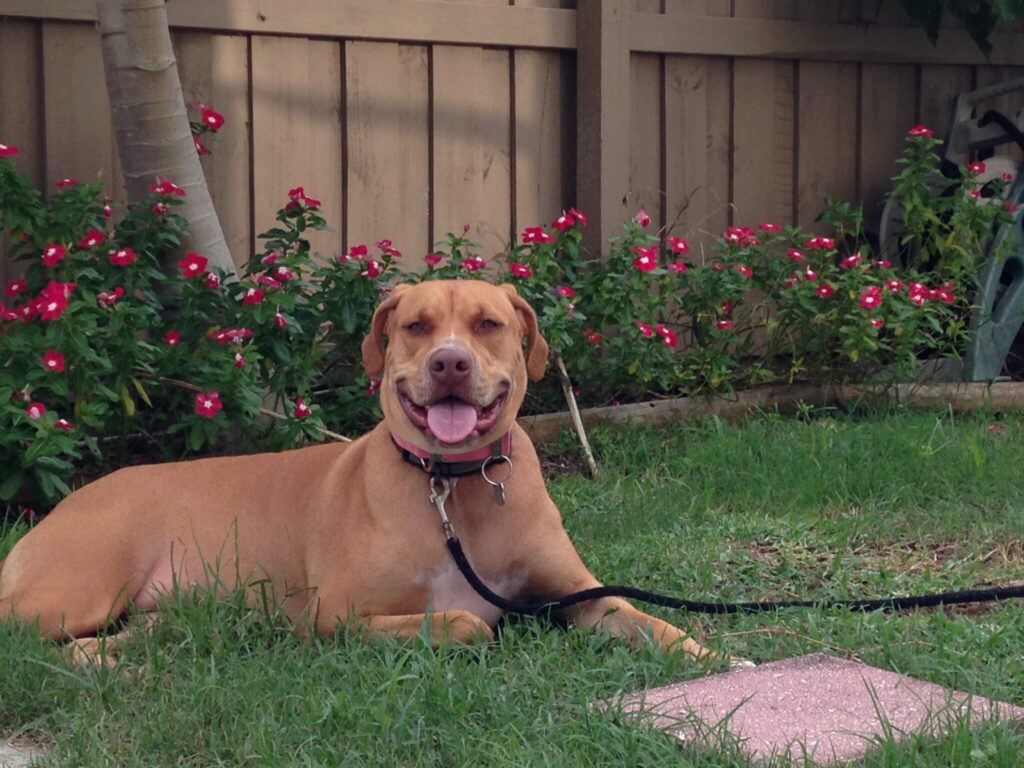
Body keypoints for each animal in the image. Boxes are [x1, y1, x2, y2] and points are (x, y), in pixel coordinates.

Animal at [0, 280, 720, 663]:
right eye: (416, 326)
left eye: (488, 323)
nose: (450, 362)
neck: (452, 487)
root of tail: (71, 499)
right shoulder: (338, 615)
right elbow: (466, 622)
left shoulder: (583, 594)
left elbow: (651, 622)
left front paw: (713, 655)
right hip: (74, 589)